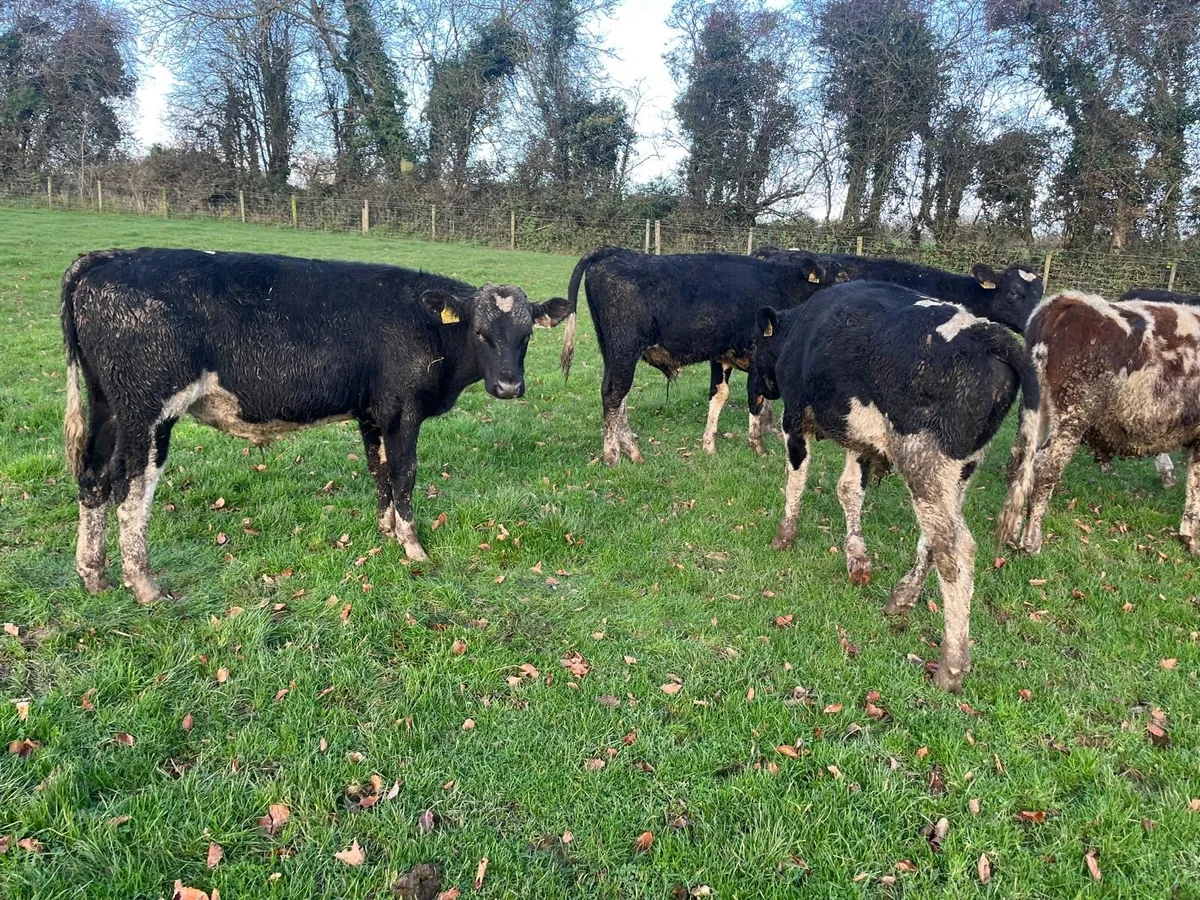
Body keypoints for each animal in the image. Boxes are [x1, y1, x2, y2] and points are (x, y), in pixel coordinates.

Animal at [61, 248, 570, 604]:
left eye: (526, 336)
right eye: (481, 332)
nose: (509, 386)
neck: (424, 324)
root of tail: (103, 259)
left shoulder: (373, 414)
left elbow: (379, 472)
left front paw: (386, 530)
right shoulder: (403, 412)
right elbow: (404, 475)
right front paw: (414, 547)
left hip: (106, 404)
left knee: (93, 477)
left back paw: (93, 575)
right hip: (146, 411)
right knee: (130, 487)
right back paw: (144, 585)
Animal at [556, 247, 829, 464]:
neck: (782, 284)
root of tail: (616, 251)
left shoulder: (722, 356)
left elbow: (719, 395)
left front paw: (709, 445)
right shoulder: (756, 354)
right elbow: (755, 397)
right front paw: (758, 445)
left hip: (612, 352)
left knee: (619, 397)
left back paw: (630, 449)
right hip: (624, 349)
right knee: (613, 394)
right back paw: (613, 455)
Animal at [751, 281, 1039, 692]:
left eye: (754, 347)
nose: (757, 390)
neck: (800, 328)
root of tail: (990, 333)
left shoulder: (795, 418)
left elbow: (796, 479)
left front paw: (785, 535)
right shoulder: (861, 440)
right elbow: (848, 489)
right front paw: (857, 557)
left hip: (925, 463)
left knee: (955, 550)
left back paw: (951, 665)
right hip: (959, 469)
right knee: (935, 536)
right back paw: (904, 595)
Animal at [998, 291, 1200, 557]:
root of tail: (1068, 300)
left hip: (1034, 411)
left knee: (1019, 460)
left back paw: (1014, 534)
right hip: (1073, 413)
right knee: (1045, 469)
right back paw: (1031, 542)